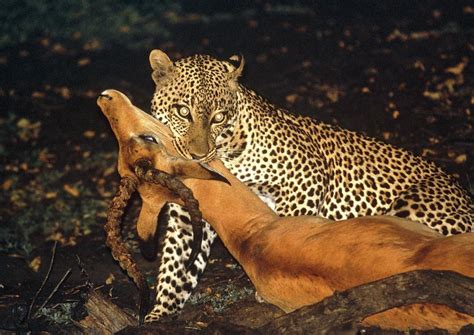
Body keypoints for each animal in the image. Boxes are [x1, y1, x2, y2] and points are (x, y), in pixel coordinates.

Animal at [142, 50, 474, 322]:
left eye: (219, 117)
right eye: (183, 111)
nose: (198, 155)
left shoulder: (308, 176)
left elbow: (286, 229)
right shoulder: (187, 213)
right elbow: (174, 263)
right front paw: (159, 314)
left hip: (416, 206)